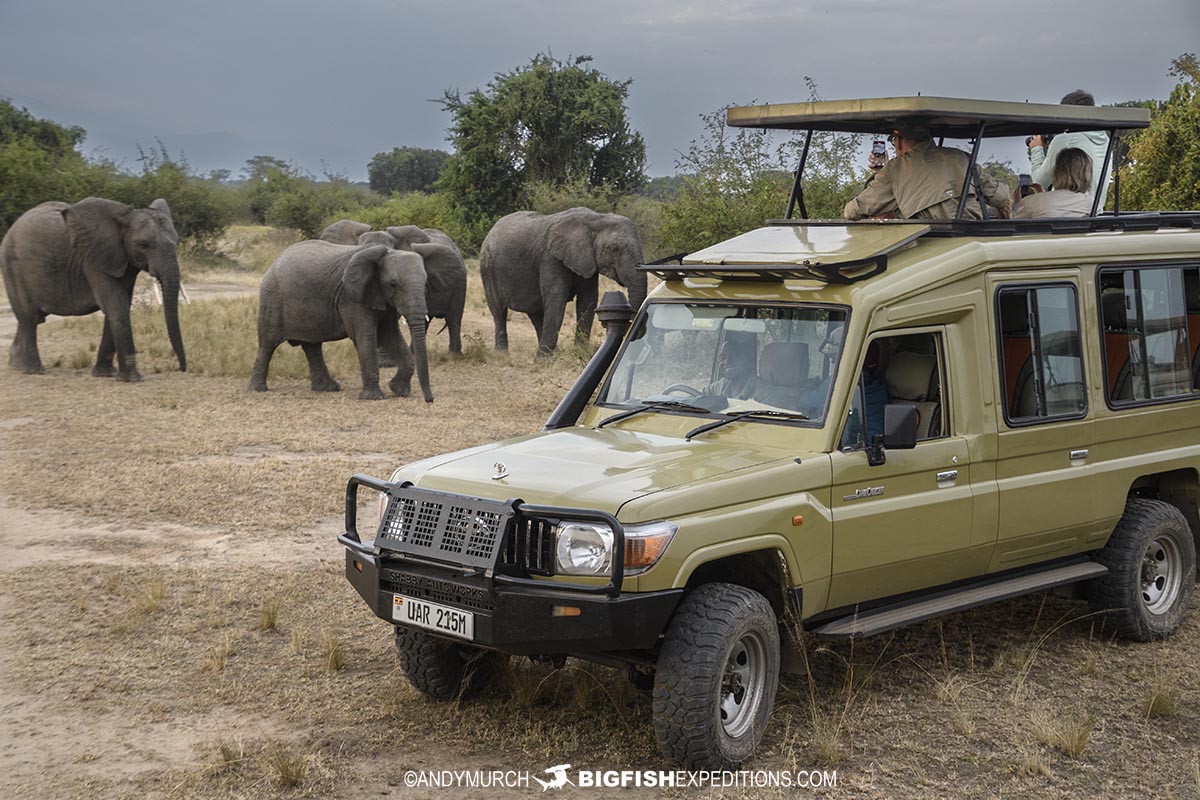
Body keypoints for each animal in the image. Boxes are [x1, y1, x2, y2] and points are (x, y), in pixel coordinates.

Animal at [0, 197, 186, 381]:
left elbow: (120, 305)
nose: (181, 369)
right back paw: (33, 370)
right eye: (143, 245)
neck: (124, 219)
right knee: (30, 318)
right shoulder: (92, 260)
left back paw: (16, 365)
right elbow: (116, 306)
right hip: (13, 266)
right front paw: (133, 379)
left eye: (177, 242)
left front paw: (105, 374)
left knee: (29, 319)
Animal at [248, 241, 441, 401]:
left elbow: (389, 335)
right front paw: (374, 398)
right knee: (268, 343)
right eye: (393, 285)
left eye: (425, 282)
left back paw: (327, 388)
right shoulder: (352, 298)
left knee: (312, 346)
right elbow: (366, 336)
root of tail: (275, 261)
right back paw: (258, 389)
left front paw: (399, 390)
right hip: (272, 299)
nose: (429, 400)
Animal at [479, 207, 646, 356]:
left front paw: (580, 352)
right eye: (614, 249)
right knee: (498, 310)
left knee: (535, 313)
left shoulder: (586, 260)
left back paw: (554, 353)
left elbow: (588, 300)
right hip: (488, 268)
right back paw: (503, 354)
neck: (597, 219)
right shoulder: (550, 258)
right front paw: (542, 361)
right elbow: (556, 300)